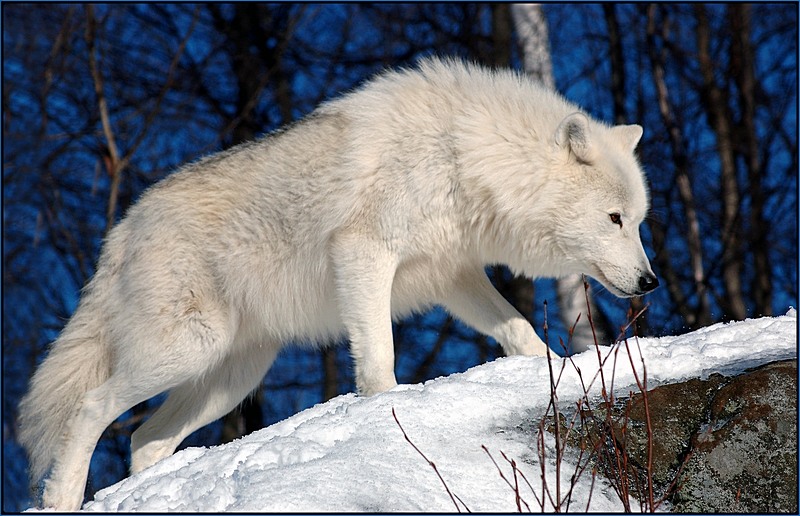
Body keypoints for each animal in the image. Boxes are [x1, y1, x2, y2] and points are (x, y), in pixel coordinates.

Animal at [18, 58, 656, 510]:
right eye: (615, 219)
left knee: (143, 441)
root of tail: (124, 228)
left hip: (231, 378)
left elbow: (520, 331)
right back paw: (61, 499)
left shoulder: (453, 275)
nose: (650, 281)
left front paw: (555, 371)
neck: (461, 153)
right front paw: (386, 412)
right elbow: (379, 359)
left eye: (638, 221)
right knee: (90, 408)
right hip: (186, 350)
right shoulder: (365, 254)